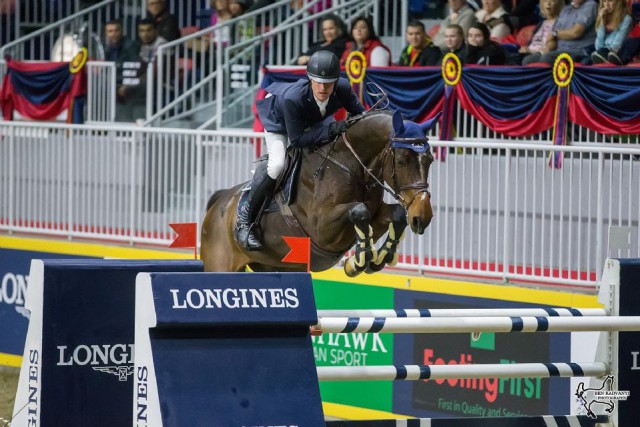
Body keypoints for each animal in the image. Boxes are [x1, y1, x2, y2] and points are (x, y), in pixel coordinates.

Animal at [201, 108, 440, 278]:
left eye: (430, 160)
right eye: (402, 161)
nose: (422, 217)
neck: (349, 164)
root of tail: (219, 203)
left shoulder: (376, 214)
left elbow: (397, 214)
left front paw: (378, 258)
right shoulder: (321, 228)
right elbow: (358, 210)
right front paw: (357, 262)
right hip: (220, 266)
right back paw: (246, 232)